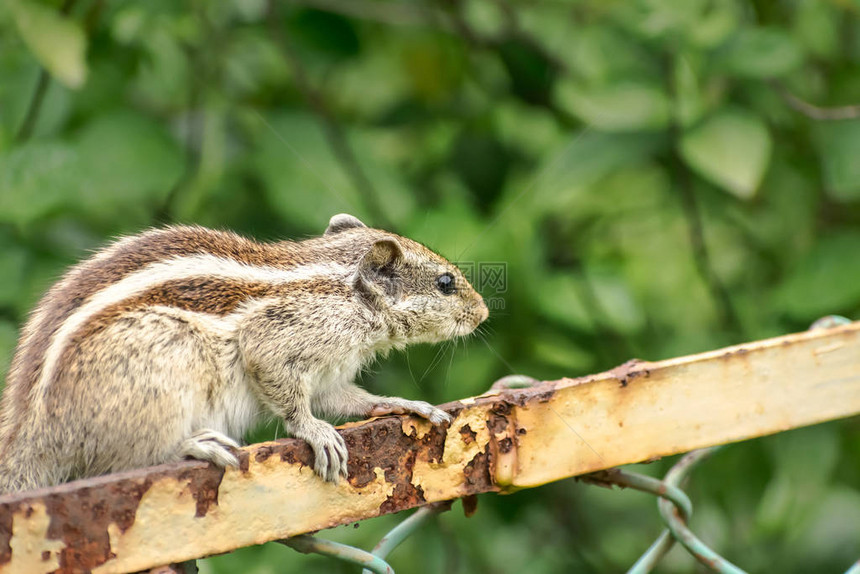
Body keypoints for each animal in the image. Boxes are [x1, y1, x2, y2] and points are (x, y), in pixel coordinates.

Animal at [0, 214, 488, 492]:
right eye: (446, 283)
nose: (483, 311)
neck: (344, 291)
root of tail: (32, 435)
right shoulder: (278, 340)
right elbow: (289, 397)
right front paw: (315, 432)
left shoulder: (329, 375)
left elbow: (350, 400)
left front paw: (404, 404)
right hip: (165, 363)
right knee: (122, 460)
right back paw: (197, 443)